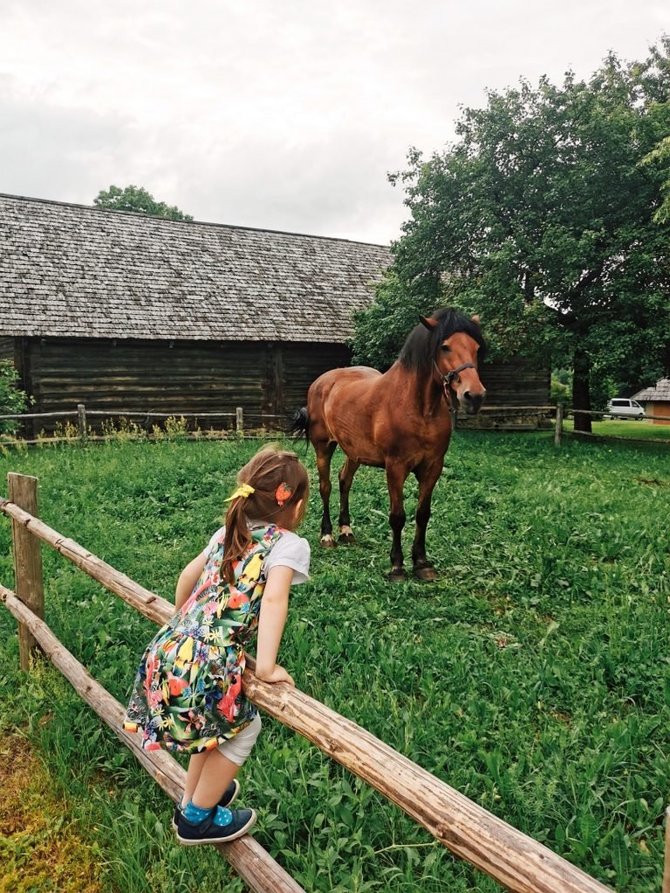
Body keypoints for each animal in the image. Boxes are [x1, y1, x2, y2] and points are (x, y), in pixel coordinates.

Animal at [296, 310, 488, 580]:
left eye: (476, 348)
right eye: (445, 346)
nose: (474, 395)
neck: (420, 409)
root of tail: (321, 381)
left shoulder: (433, 467)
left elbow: (422, 514)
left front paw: (422, 563)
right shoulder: (395, 468)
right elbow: (397, 516)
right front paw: (397, 566)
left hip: (354, 452)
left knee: (345, 481)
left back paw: (346, 530)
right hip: (323, 447)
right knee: (326, 486)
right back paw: (328, 535)